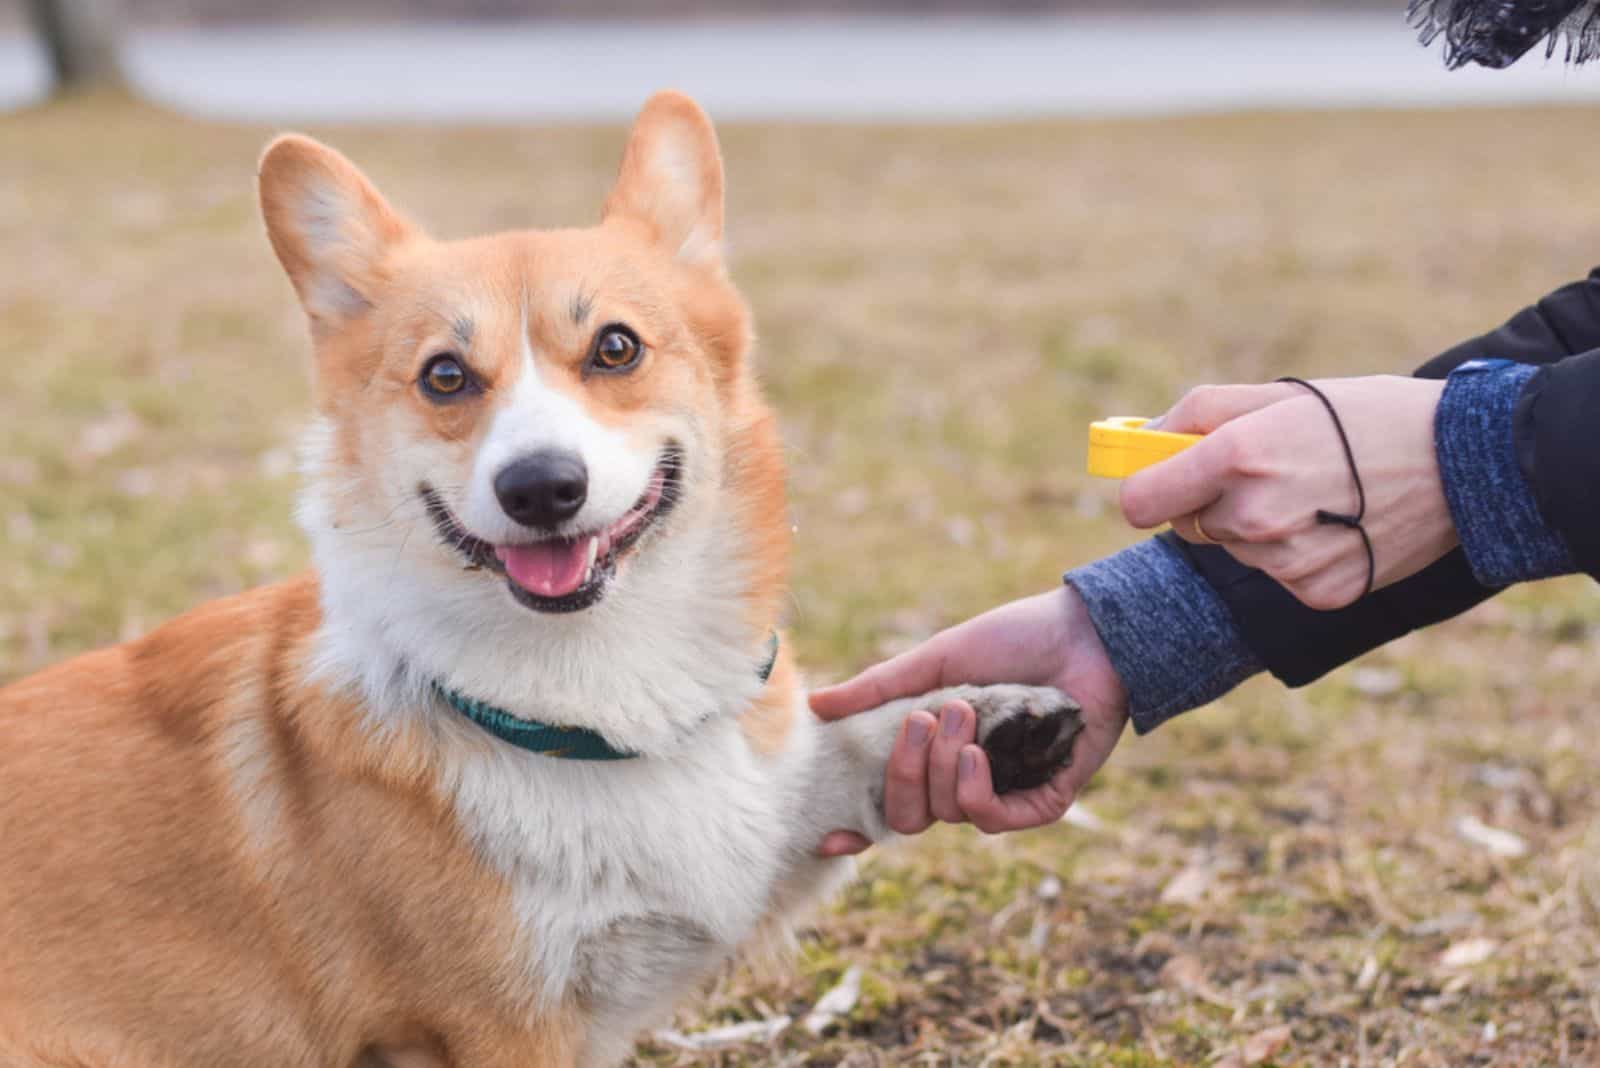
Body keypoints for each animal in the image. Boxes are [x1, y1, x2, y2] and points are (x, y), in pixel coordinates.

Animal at [0, 93, 1081, 1068]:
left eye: (616, 347)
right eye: (444, 376)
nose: (541, 487)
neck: (599, 698)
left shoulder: (747, 824)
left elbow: (842, 745)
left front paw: (984, 718)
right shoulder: (503, 1026)